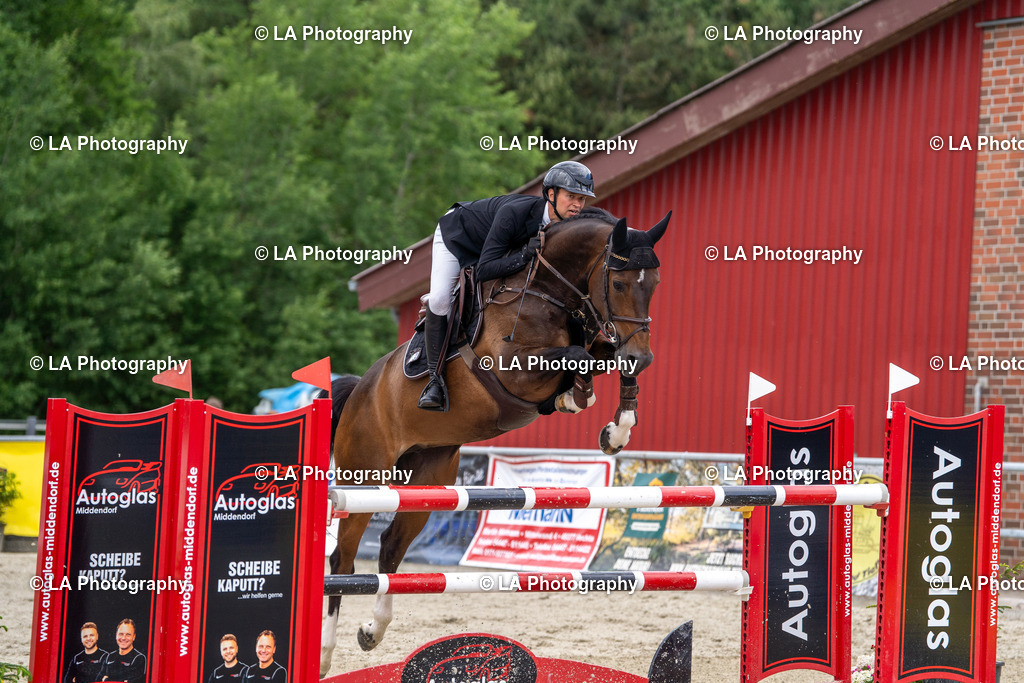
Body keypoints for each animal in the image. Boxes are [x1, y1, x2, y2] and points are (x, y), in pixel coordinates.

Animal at [319, 207, 670, 677]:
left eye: (654, 284)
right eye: (617, 284)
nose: (644, 356)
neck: (550, 291)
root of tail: (359, 389)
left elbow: (603, 358)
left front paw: (615, 429)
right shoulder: (512, 369)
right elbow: (578, 356)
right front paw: (577, 397)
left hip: (429, 475)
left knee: (391, 548)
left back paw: (373, 631)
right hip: (363, 475)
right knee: (343, 558)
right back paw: (325, 653)